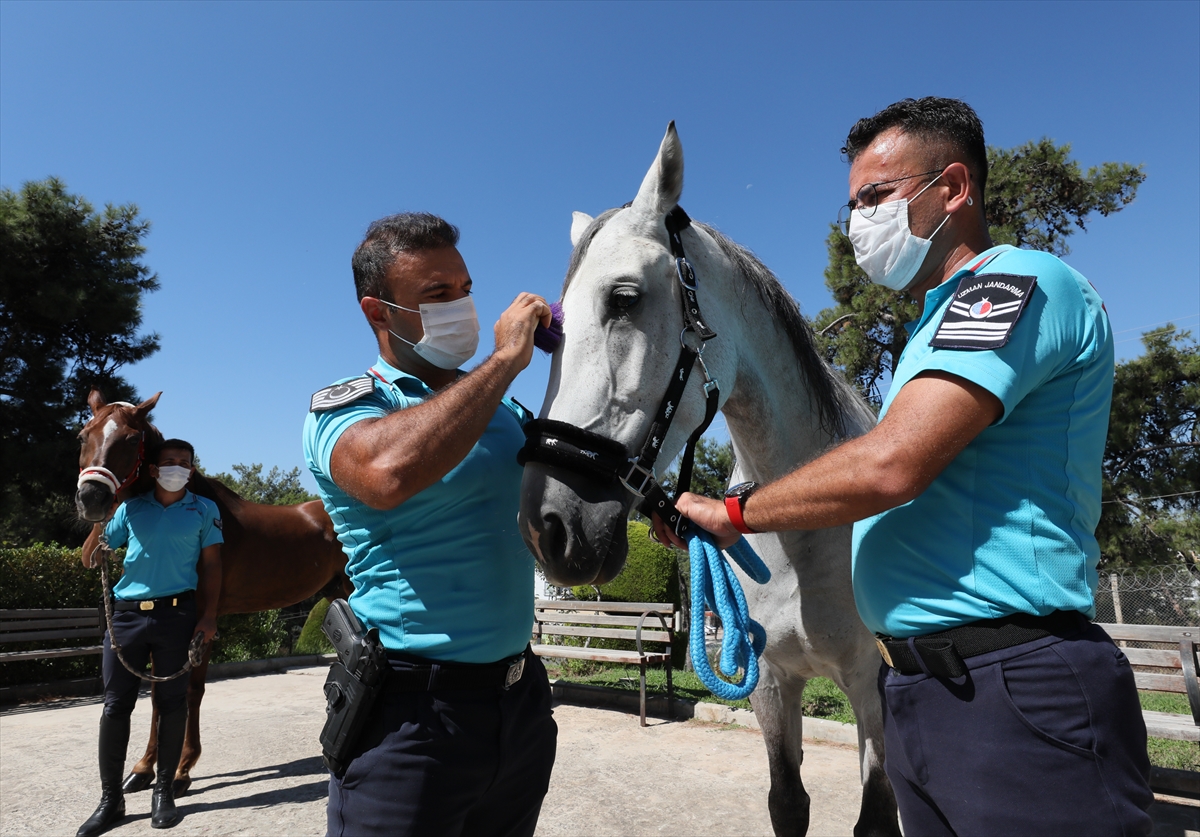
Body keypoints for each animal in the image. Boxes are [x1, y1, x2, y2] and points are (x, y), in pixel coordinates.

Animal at [77, 388, 350, 791]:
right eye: (83, 436)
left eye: (129, 439)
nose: (91, 498)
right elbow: (158, 695)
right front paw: (143, 767)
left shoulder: (201, 622)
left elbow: (190, 691)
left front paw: (181, 769)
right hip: (338, 593)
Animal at [518, 125, 902, 834]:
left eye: (624, 299)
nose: (547, 529)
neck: (805, 534)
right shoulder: (771, 681)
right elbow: (788, 803)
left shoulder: (873, 684)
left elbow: (877, 814)